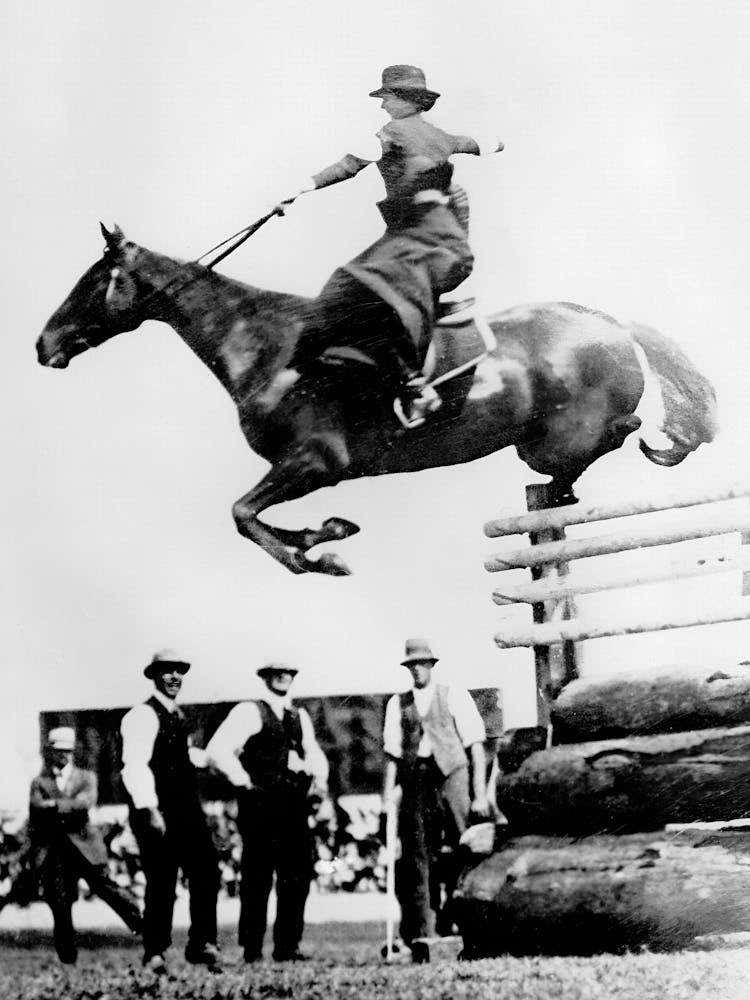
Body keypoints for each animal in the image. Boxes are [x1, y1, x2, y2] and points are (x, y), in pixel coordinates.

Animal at [36, 224, 718, 576]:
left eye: (93, 282)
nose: (43, 345)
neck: (267, 347)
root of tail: (611, 323)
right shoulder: (300, 469)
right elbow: (250, 515)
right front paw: (321, 533)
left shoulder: (317, 462)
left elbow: (242, 514)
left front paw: (319, 550)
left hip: (554, 439)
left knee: (618, 432)